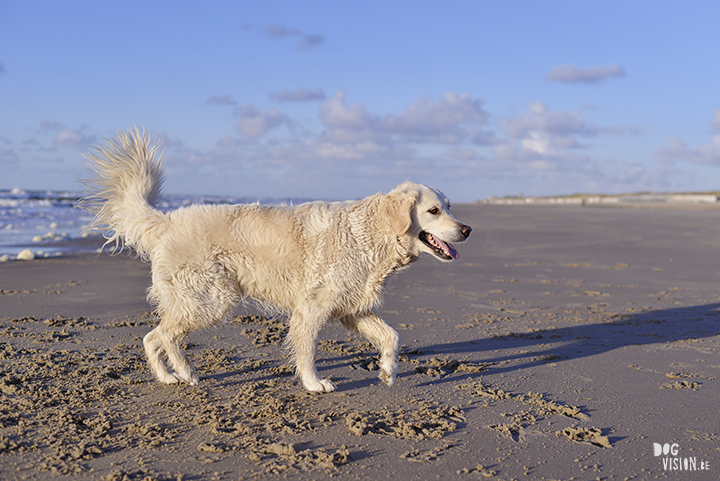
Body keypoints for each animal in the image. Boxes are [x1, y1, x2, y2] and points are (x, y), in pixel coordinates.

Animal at [80, 127, 472, 390]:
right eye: (434, 210)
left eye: (450, 206)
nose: (467, 229)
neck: (369, 233)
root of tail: (166, 220)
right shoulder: (312, 308)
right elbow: (307, 351)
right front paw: (314, 384)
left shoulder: (353, 307)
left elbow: (392, 336)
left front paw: (388, 371)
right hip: (212, 298)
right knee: (167, 336)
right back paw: (187, 373)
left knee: (151, 337)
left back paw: (166, 377)